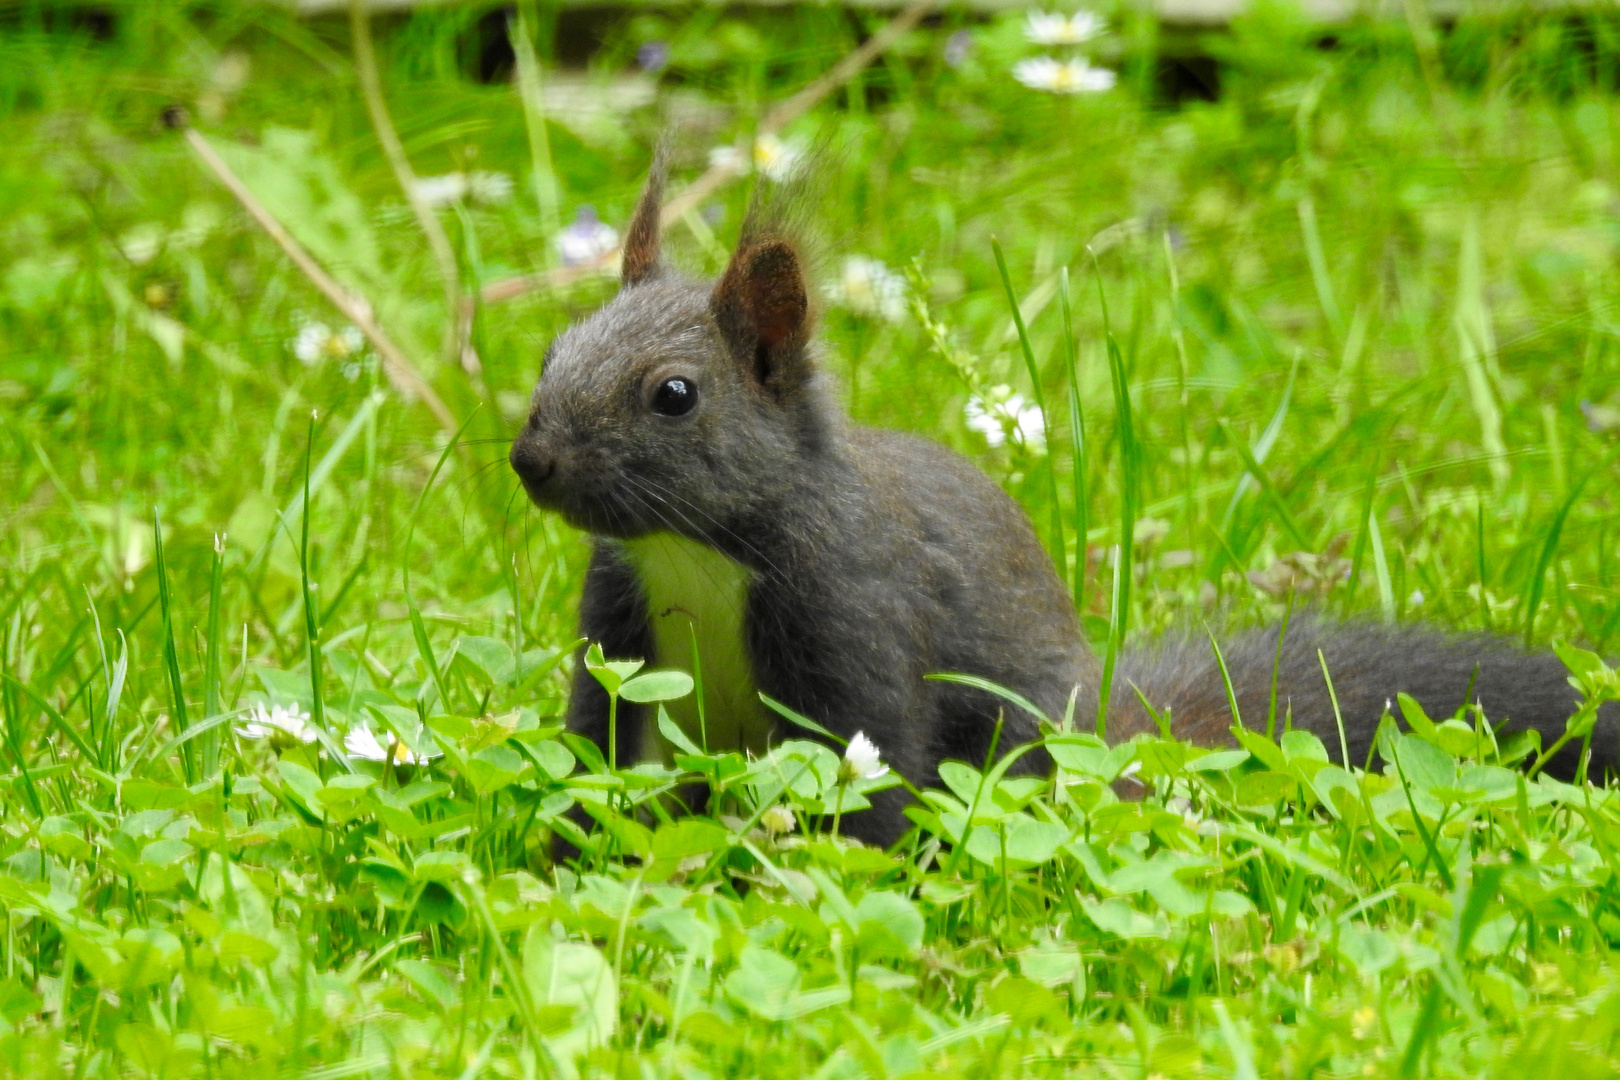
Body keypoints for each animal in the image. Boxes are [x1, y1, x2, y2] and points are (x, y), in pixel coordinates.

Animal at [508, 165, 1620, 848]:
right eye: (554, 348)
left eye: (674, 395)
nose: (531, 459)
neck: (695, 554)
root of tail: (1111, 727)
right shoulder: (622, 635)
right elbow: (605, 762)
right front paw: (566, 855)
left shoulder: (852, 616)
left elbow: (870, 777)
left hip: (1023, 738)